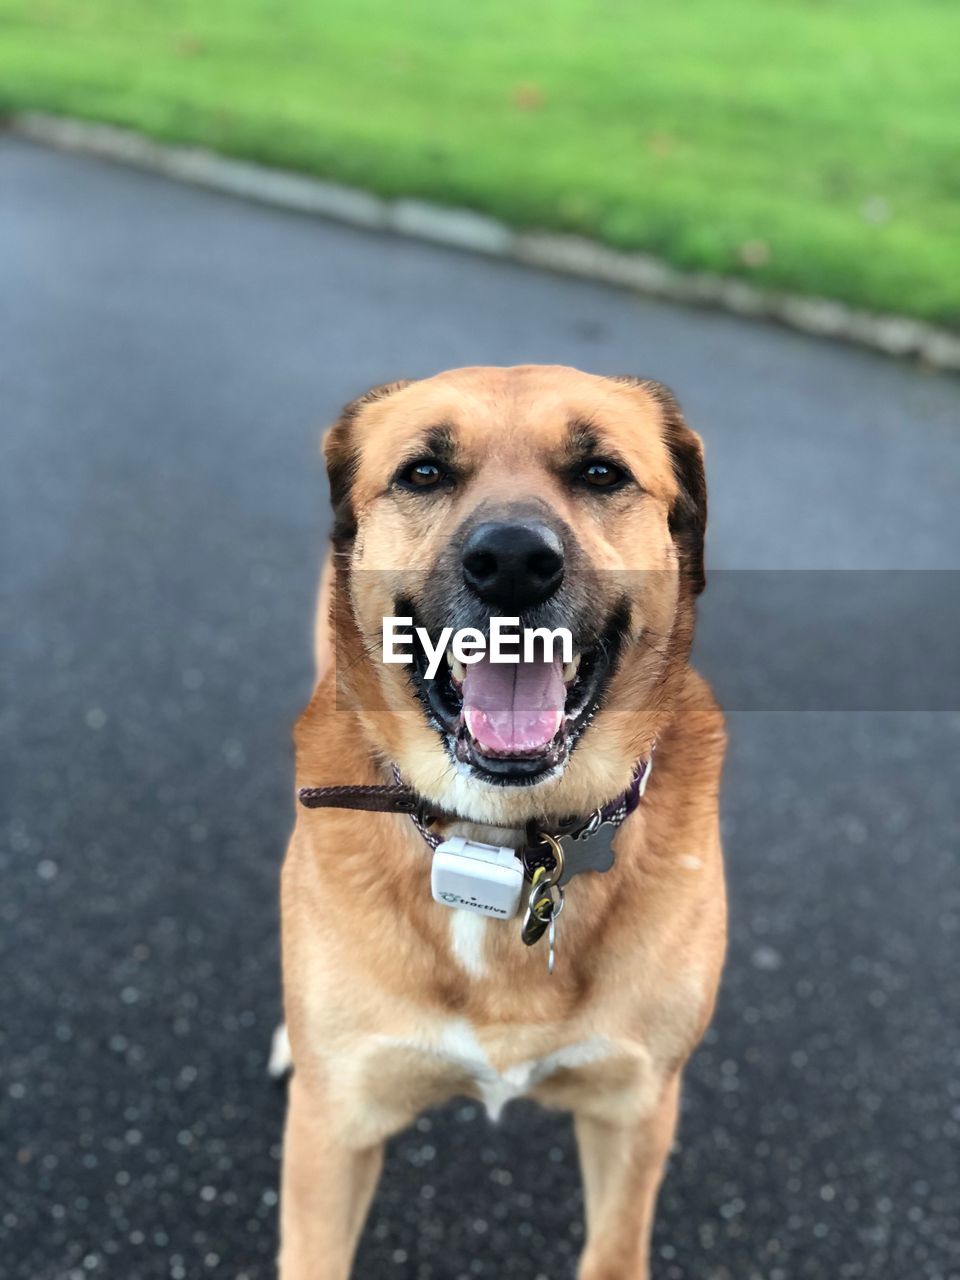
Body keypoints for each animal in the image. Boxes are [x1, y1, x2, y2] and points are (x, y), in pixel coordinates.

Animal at [277, 366, 727, 1274]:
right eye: (422, 473)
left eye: (600, 472)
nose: (513, 563)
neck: (503, 841)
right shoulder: (332, 1130)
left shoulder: (635, 1114)